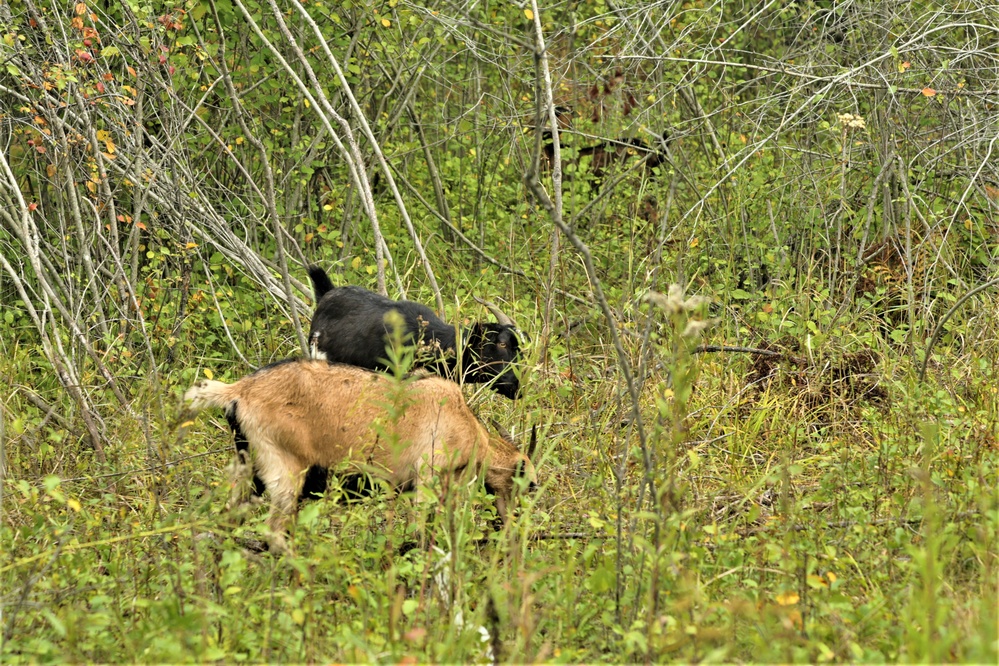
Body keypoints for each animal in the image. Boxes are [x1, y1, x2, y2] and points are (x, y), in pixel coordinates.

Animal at [183, 358, 536, 548]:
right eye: (527, 483)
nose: (510, 525)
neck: (469, 430)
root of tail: (239, 391)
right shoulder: (427, 479)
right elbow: (423, 534)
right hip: (285, 467)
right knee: (273, 531)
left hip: (247, 469)